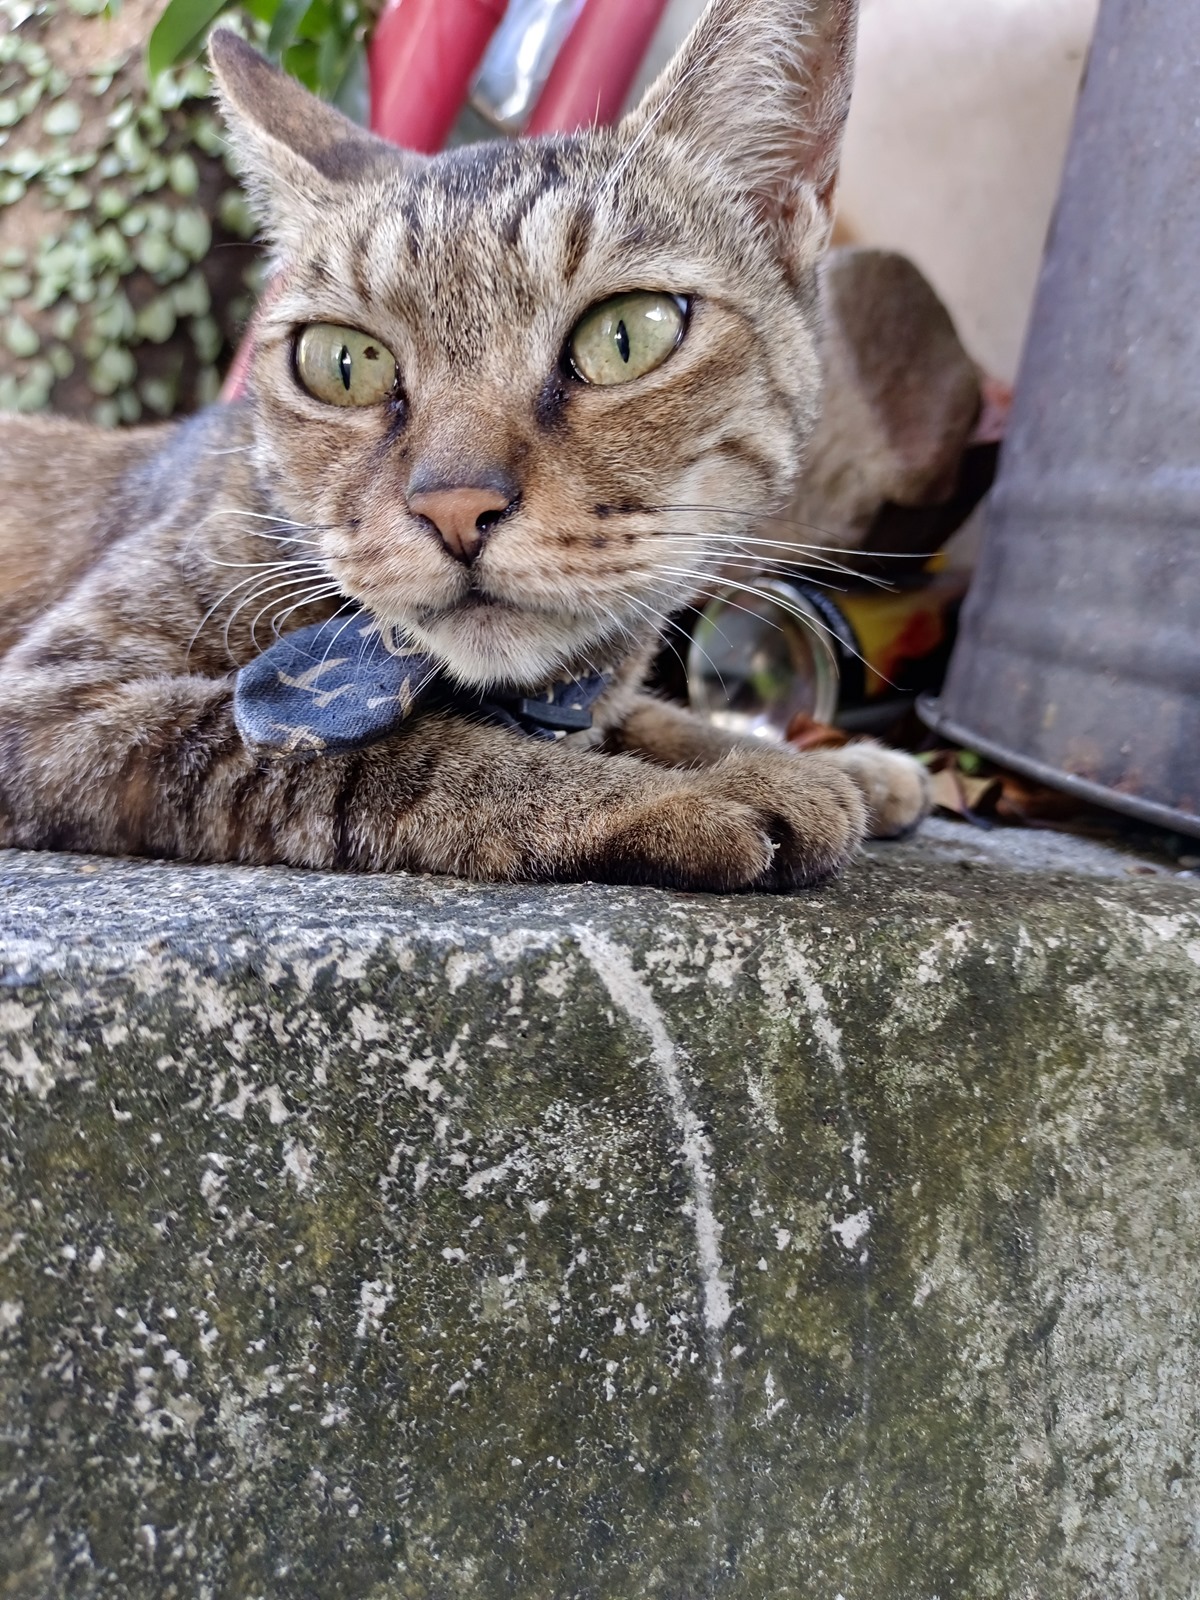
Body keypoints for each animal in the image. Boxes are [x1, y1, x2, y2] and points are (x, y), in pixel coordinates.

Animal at [0, 0, 927, 891]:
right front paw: (710, 791)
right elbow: (399, 758)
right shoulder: (62, 703)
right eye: (345, 362)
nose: (453, 507)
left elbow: (657, 713)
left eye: (626, 336)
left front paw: (832, 758)